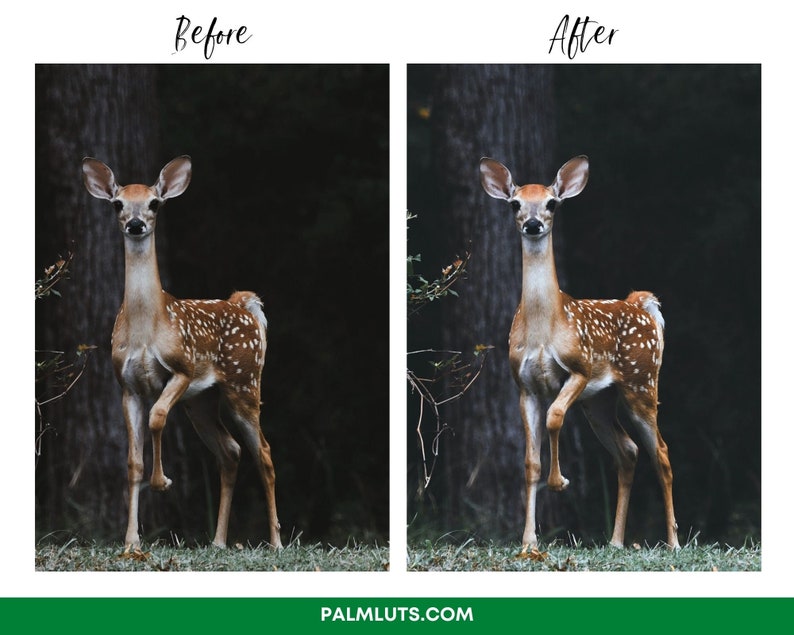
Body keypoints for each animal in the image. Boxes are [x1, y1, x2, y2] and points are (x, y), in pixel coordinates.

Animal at [82, 155, 282, 550]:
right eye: (117, 204)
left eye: (155, 203)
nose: (136, 224)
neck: (147, 327)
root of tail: (244, 304)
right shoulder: (126, 385)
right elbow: (133, 462)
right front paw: (131, 542)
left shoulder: (182, 368)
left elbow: (157, 417)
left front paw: (163, 482)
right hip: (201, 401)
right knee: (230, 451)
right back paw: (218, 542)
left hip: (244, 383)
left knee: (264, 453)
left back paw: (276, 542)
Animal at [479, 155, 679, 551]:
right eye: (515, 204)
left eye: (552, 203)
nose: (534, 224)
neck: (545, 329)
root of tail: (641, 304)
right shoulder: (523, 385)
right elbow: (530, 462)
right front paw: (529, 541)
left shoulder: (579, 368)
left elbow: (555, 417)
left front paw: (560, 482)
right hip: (599, 401)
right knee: (628, 451)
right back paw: (615, 541)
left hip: (642, 383)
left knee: (661, 453)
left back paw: (674, 542)